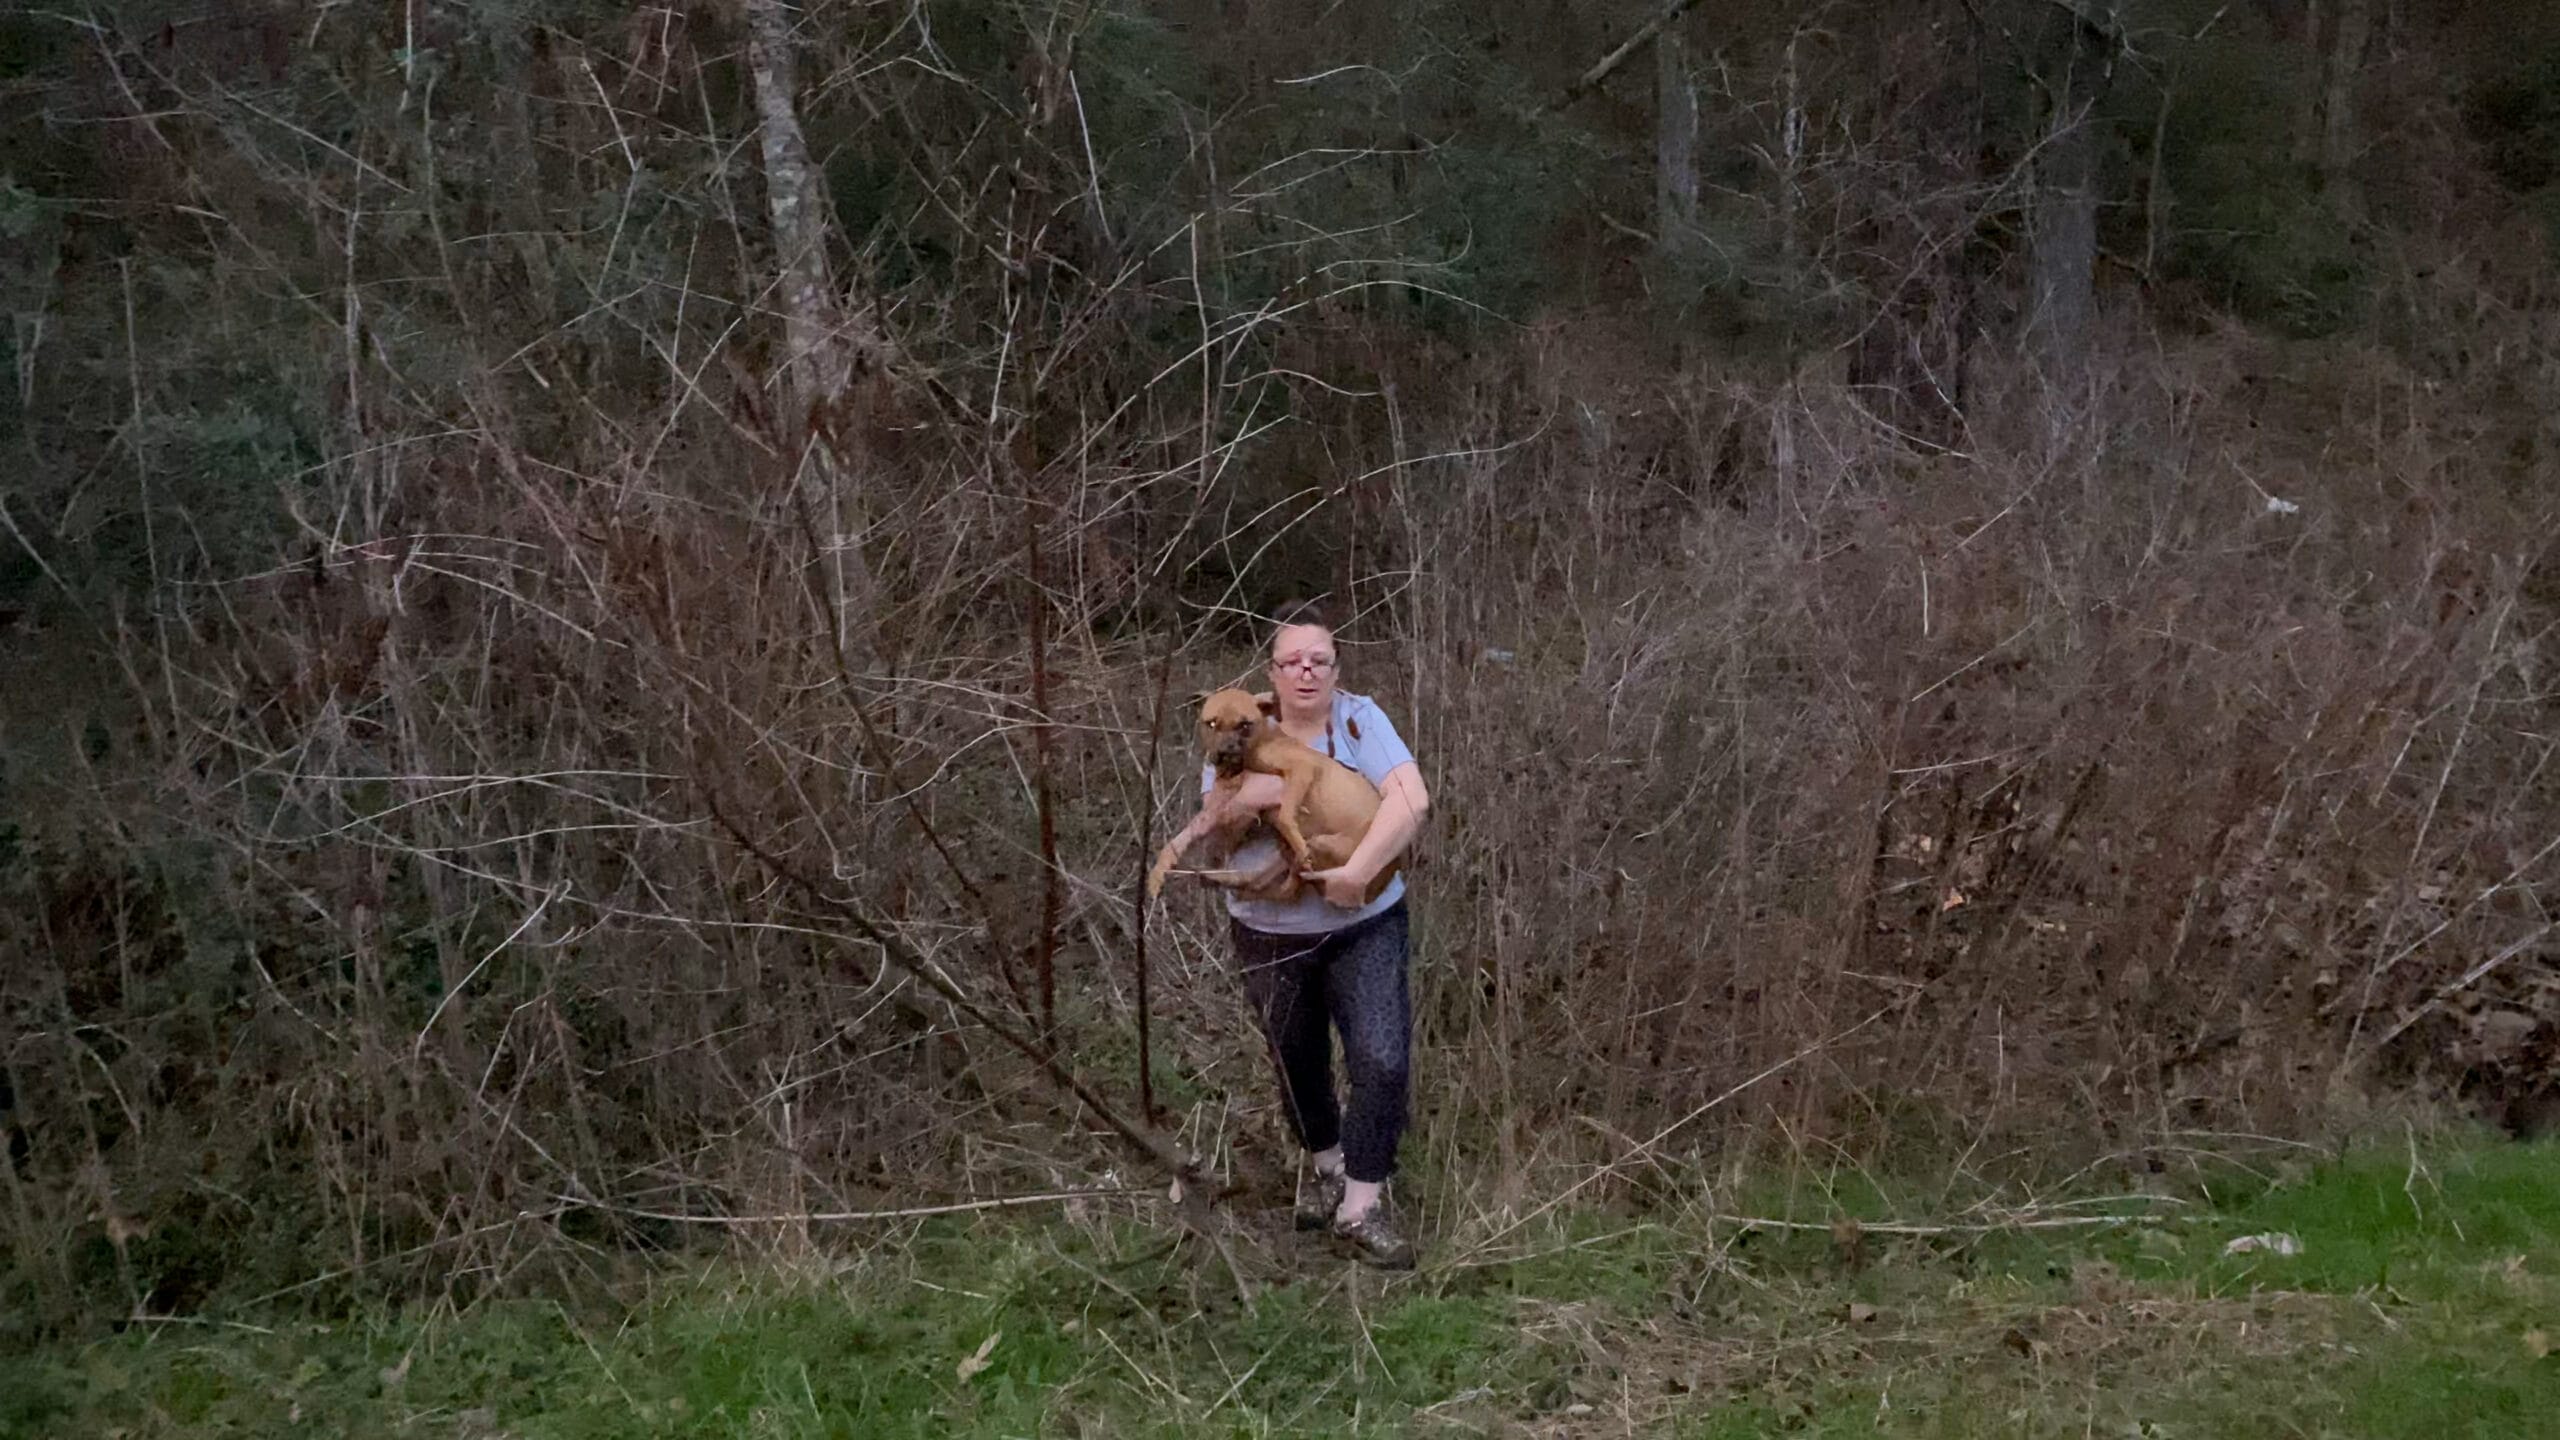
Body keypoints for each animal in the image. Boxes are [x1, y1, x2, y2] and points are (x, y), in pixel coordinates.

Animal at [1147, 687, 1399, 907]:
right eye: (1211, 723)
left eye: (1245, 725)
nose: (1227, 751)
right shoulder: (1214, 811)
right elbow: (1176, 841)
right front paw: (1156, 874)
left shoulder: (1301, 768)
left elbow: (1287, 815)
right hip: (1283, 852)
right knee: (1268, 884)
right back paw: (1216, 877)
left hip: (1319, 845)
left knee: (1287, 884)